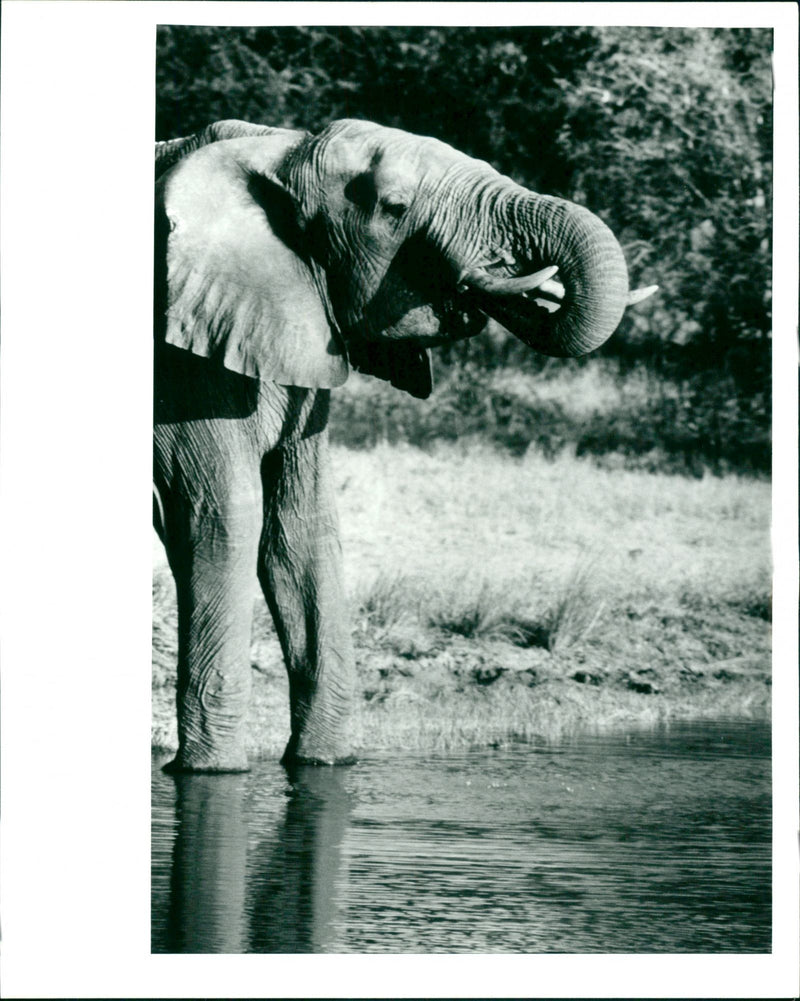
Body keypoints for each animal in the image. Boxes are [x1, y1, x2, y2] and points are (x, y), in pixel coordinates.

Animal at [153, 118, 655, 773]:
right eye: (393, 208)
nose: (520, 275)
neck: (279, 150)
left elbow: (300, 526)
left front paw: (327, 766)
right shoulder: (182, 366)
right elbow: (224, 518)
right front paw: (211, 775)